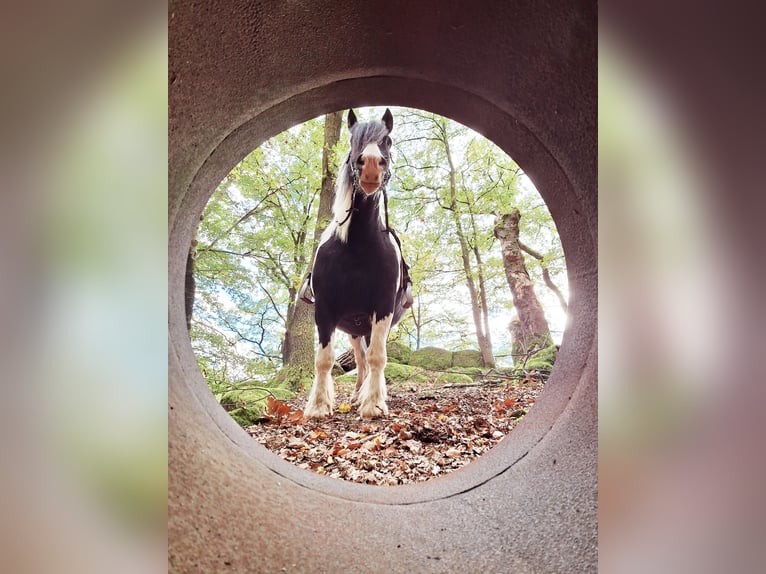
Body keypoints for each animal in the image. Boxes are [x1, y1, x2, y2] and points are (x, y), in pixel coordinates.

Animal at [302, 110, 414, 420]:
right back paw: (354, 395)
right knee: (360, 361)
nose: (372, 166)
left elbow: (378, 357)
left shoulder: (383, 308)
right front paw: (318, 405)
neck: (357, 247)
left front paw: (374, 403)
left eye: (387, 140)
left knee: (368, 358)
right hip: (354, 330)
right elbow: (324, 360)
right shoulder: (325, 309)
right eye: (354, 141)